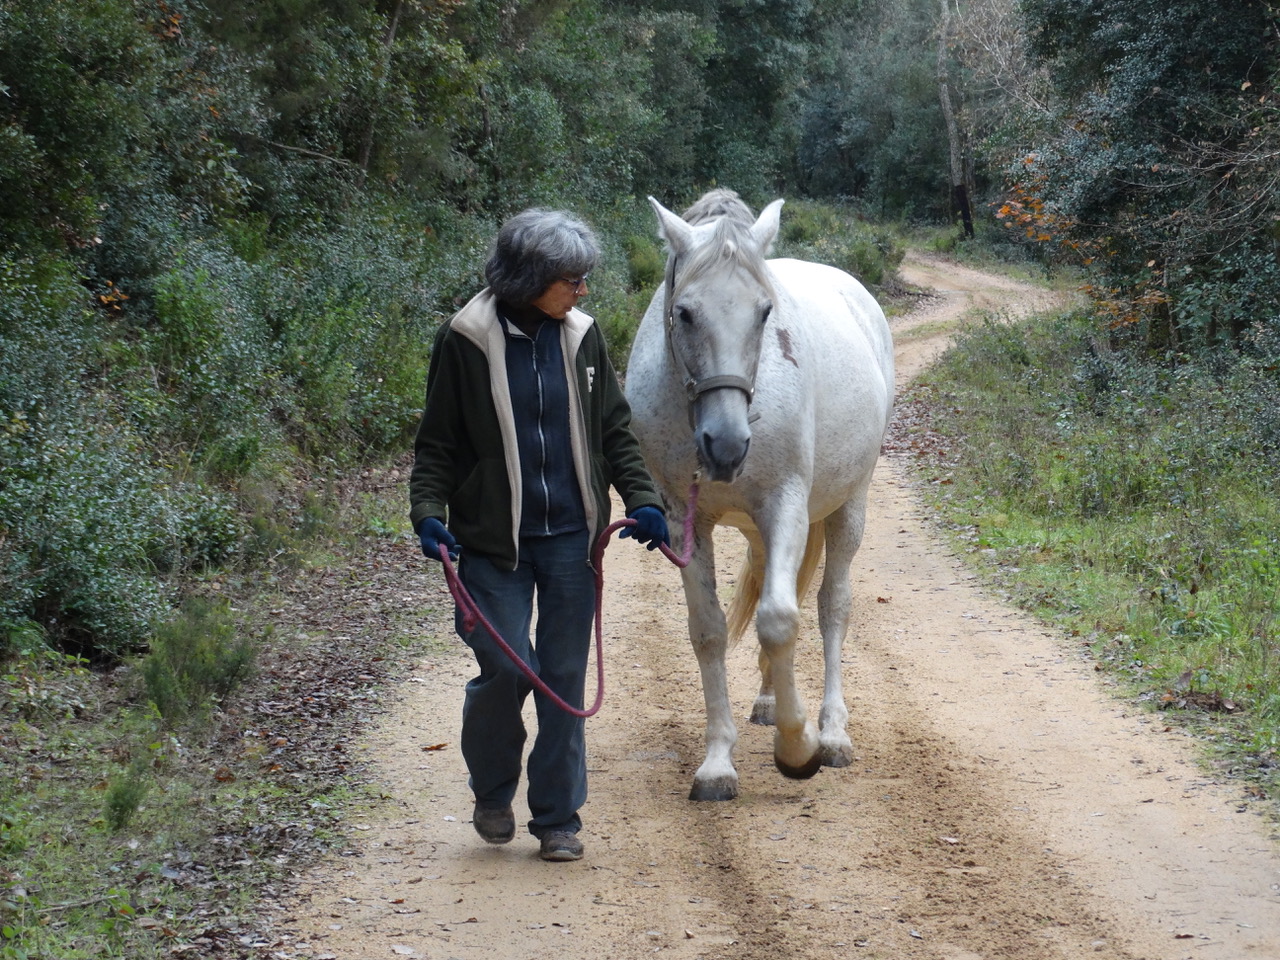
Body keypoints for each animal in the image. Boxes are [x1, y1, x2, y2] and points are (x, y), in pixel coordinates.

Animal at [622, 189, 890, 803]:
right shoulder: (683, 519)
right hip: (758, 528)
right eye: (684, 312)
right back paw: (770, 701)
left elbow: (779, 619)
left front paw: (798, 747)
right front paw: (718, 763)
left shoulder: (786, 504)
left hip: (849, 506)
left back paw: (832, 733)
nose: (725, 445)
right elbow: (709, 630)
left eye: (765, 312)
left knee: (830, 605)